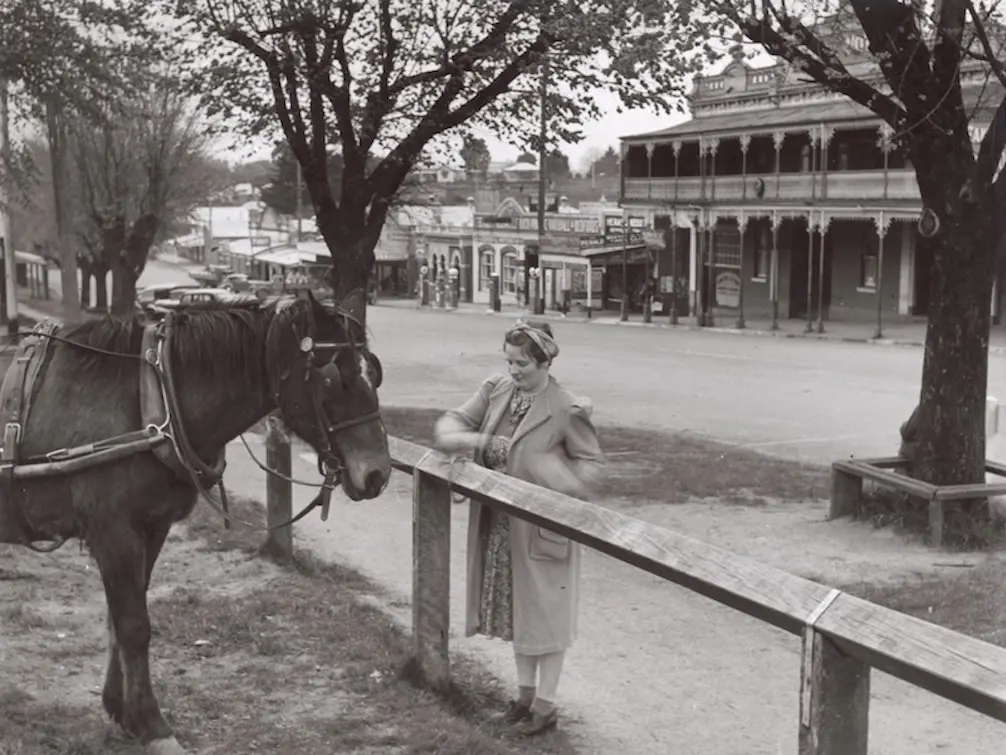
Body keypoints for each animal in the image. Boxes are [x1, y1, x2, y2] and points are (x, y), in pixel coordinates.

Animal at [0, 287, 390, 752]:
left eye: (374, 374)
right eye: (333, 379)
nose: (378, 474)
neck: (148, 400)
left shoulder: (150, 528)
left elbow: (121, 618)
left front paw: (121, 708)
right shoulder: (115, 532)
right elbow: (134, 625)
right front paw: (153, 725)